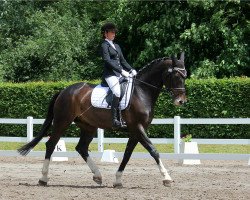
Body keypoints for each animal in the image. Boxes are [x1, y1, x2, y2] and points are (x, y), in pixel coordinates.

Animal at [17, 52, 187, 188]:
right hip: (62, 122)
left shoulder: (135, 131)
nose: (181, 101)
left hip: (88, 127)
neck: (141, 92)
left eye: (185, 76)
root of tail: (64, 90)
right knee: (51, 144)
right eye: (176, 76)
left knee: (81, 148)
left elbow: (127, 154)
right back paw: (43, 178)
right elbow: (153, 151)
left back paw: (98, 176)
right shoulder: (138, 128)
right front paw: (167, 178)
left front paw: (118, 180)